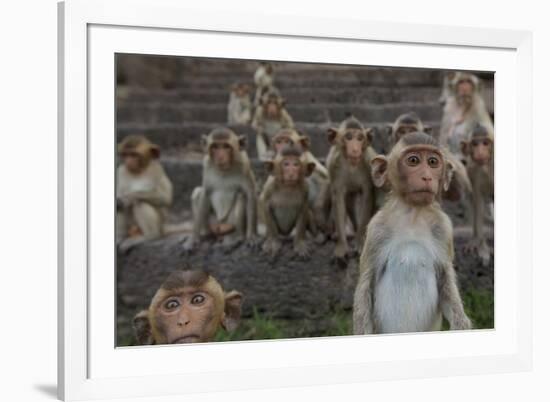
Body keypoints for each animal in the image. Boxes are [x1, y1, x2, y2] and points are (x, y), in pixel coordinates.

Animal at [326, 115, 378, 260]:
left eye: (360, 138)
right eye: (348, 137)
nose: (355, 149)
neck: (351, 165)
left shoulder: (369, 163)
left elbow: (367, 196)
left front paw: (360, 242)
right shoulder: (334, 167)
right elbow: (338, 199)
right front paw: (342, 246)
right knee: (349, 202)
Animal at [354, 133, 474, 336]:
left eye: (433, 162)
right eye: (413, 161)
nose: (426, 176)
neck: (413, 215)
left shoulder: (443, 228)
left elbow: (446, 282)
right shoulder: (376, 229)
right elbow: (365, 286)